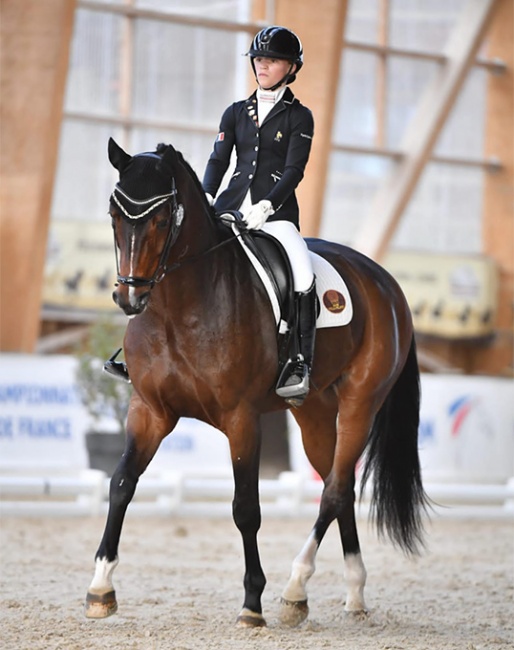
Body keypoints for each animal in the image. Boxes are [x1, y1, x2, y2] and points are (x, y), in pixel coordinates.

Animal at [84, 139, 426, 624]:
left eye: (162, 218)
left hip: (360, 404)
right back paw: (352, 593)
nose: (129, 297)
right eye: (115, 215)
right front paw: (100, 587)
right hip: (314, 412)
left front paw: (252, 601)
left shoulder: (241, 418)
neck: (178, 308)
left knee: (334, 490)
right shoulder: (149, 411)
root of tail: (386, 283)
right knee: (337, 485)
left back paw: (295, 587)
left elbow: (245, 507)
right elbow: (121, 484)